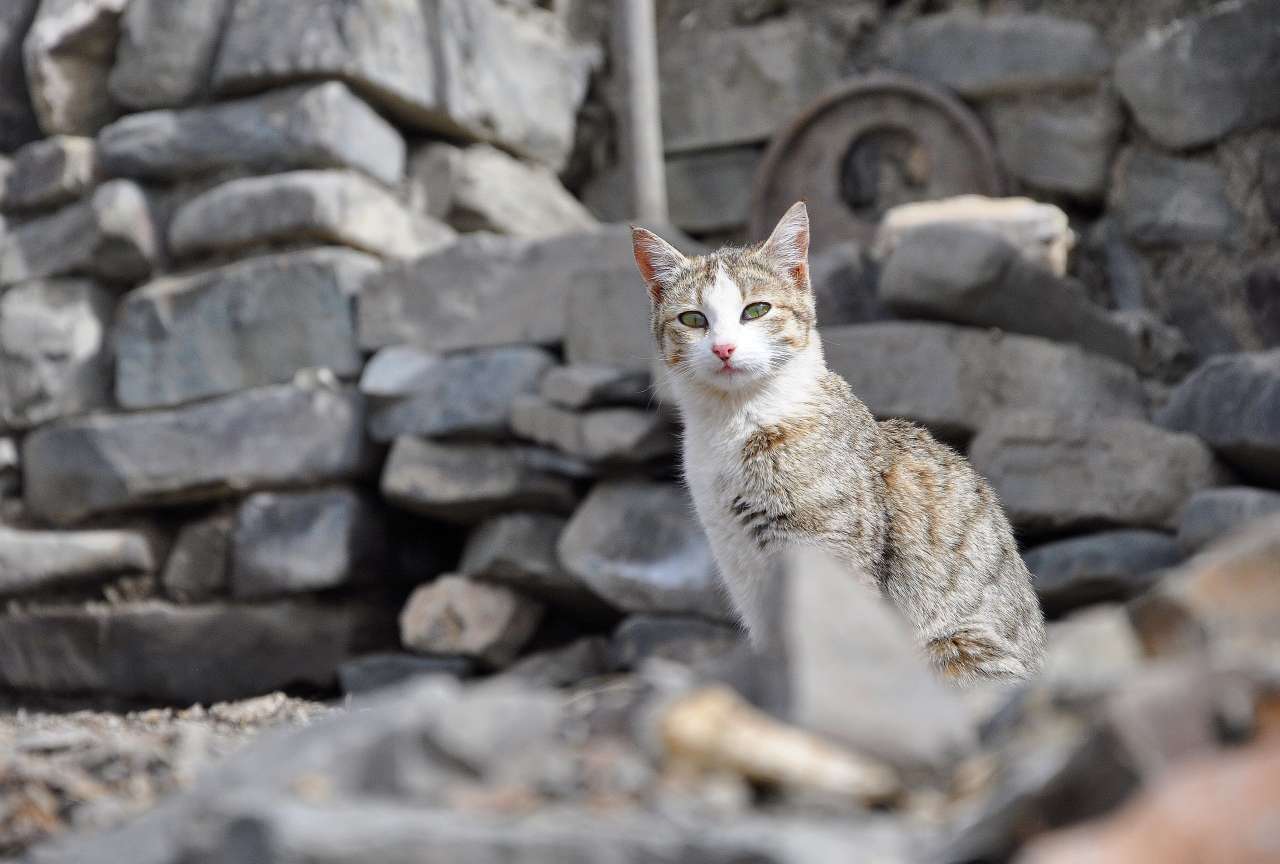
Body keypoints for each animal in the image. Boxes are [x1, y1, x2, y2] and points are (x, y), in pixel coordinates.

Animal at [627, 202, 1039, 680]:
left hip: (956, 648)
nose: (724, 349)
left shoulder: (831, 564)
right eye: (693, 319)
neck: (738, 422)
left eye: (756, 310)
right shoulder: (742, 567)